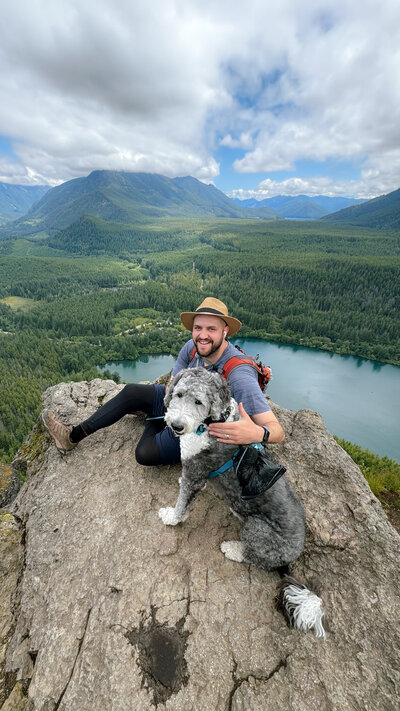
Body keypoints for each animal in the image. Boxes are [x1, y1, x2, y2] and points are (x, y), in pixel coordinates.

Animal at [157, 370, 324, 636]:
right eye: (179, 394)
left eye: (199, 402)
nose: (177, 426)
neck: (212, 423)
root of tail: (290, 559)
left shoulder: (197, 471)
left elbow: (183, 503)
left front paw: (171, 517)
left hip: (257, 529)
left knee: (255, 558)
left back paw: (234, 549)